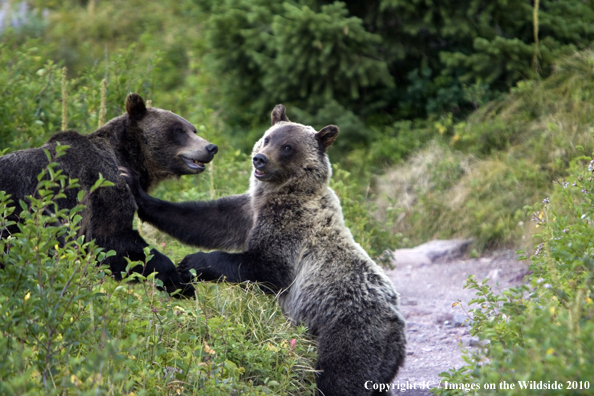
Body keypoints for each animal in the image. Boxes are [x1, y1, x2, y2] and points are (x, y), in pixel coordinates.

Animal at [0, 93, 217, 296]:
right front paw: (180, 284)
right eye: (178, 130)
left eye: (193, 129)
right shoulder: (103, 189)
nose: (211, 147)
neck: (125, 157)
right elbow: (113, 241)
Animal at [122, 104, 404, 392]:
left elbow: (267, 268)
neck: (279, 193)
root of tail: (397, 334)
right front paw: (135, 188)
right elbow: (205, 220)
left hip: (348, 332)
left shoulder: (289, 226)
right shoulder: (249, 212)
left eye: (287, 147)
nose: (259, 159)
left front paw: (192, 262)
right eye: (268, 138)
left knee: (340, 378)